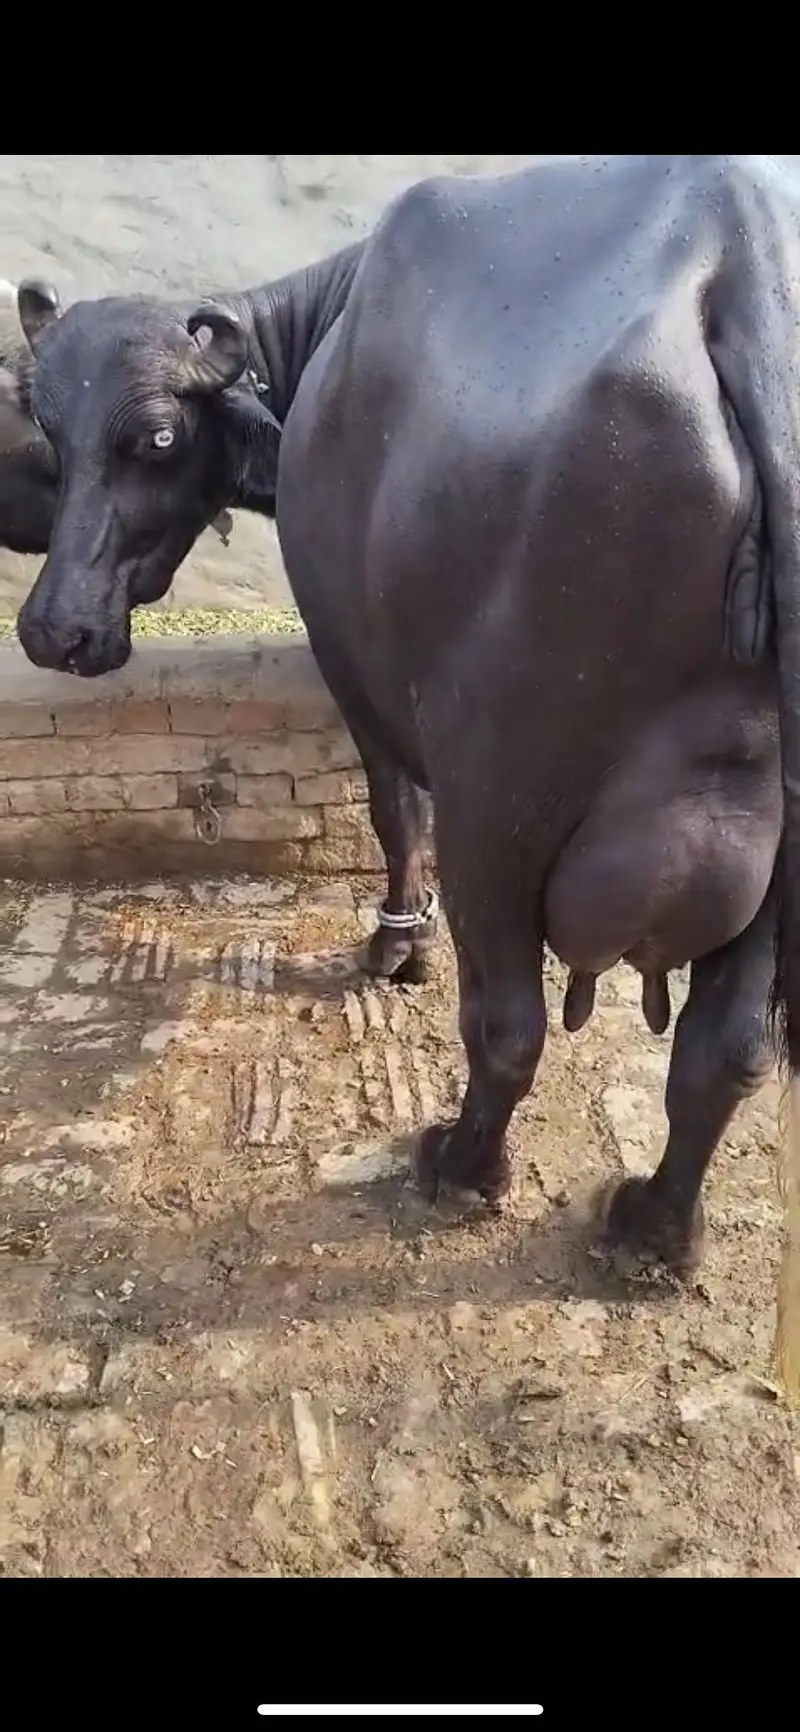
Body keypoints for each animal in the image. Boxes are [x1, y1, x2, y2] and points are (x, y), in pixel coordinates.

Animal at [12, 156, 800, 1284]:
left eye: (157, 437)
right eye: (49, 429)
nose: (54, 627)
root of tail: (740, 256)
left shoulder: (358, 673)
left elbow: (394, 810)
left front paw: (398, 944)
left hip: (502, 802)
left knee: (509, 1022)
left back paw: (460, 1164)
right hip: (773, 854)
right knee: (722, 1054)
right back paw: (654, 1225)